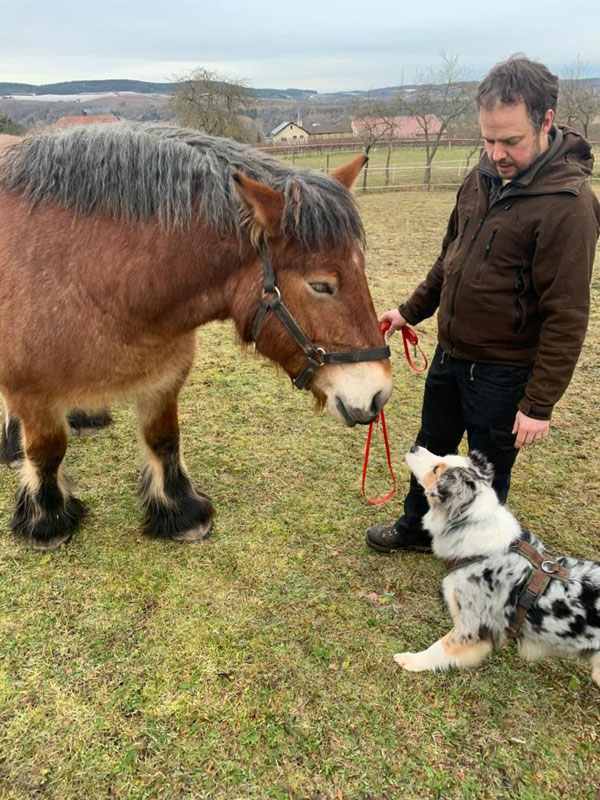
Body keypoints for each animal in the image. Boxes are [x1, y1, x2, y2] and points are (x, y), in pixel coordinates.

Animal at [0, 123, 394, 552]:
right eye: (321, 285)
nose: (378, 394)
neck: (91, 276)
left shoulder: (161, 380)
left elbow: (165, 441)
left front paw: (179, 512)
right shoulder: (33, 396)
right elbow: (47, 452)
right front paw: (47, 522)